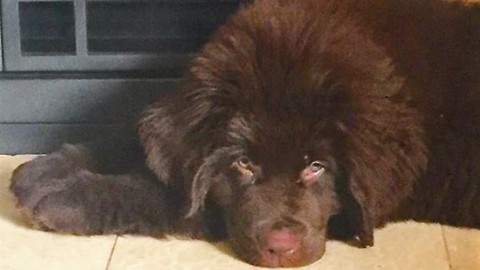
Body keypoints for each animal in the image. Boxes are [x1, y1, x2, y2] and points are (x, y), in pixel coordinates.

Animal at [7, 0, 480, 268]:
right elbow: (128, 137)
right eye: (243, 163)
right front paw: (45, 170)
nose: (281, 248)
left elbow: (162, 193)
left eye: (316, 166)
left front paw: (66, 197)